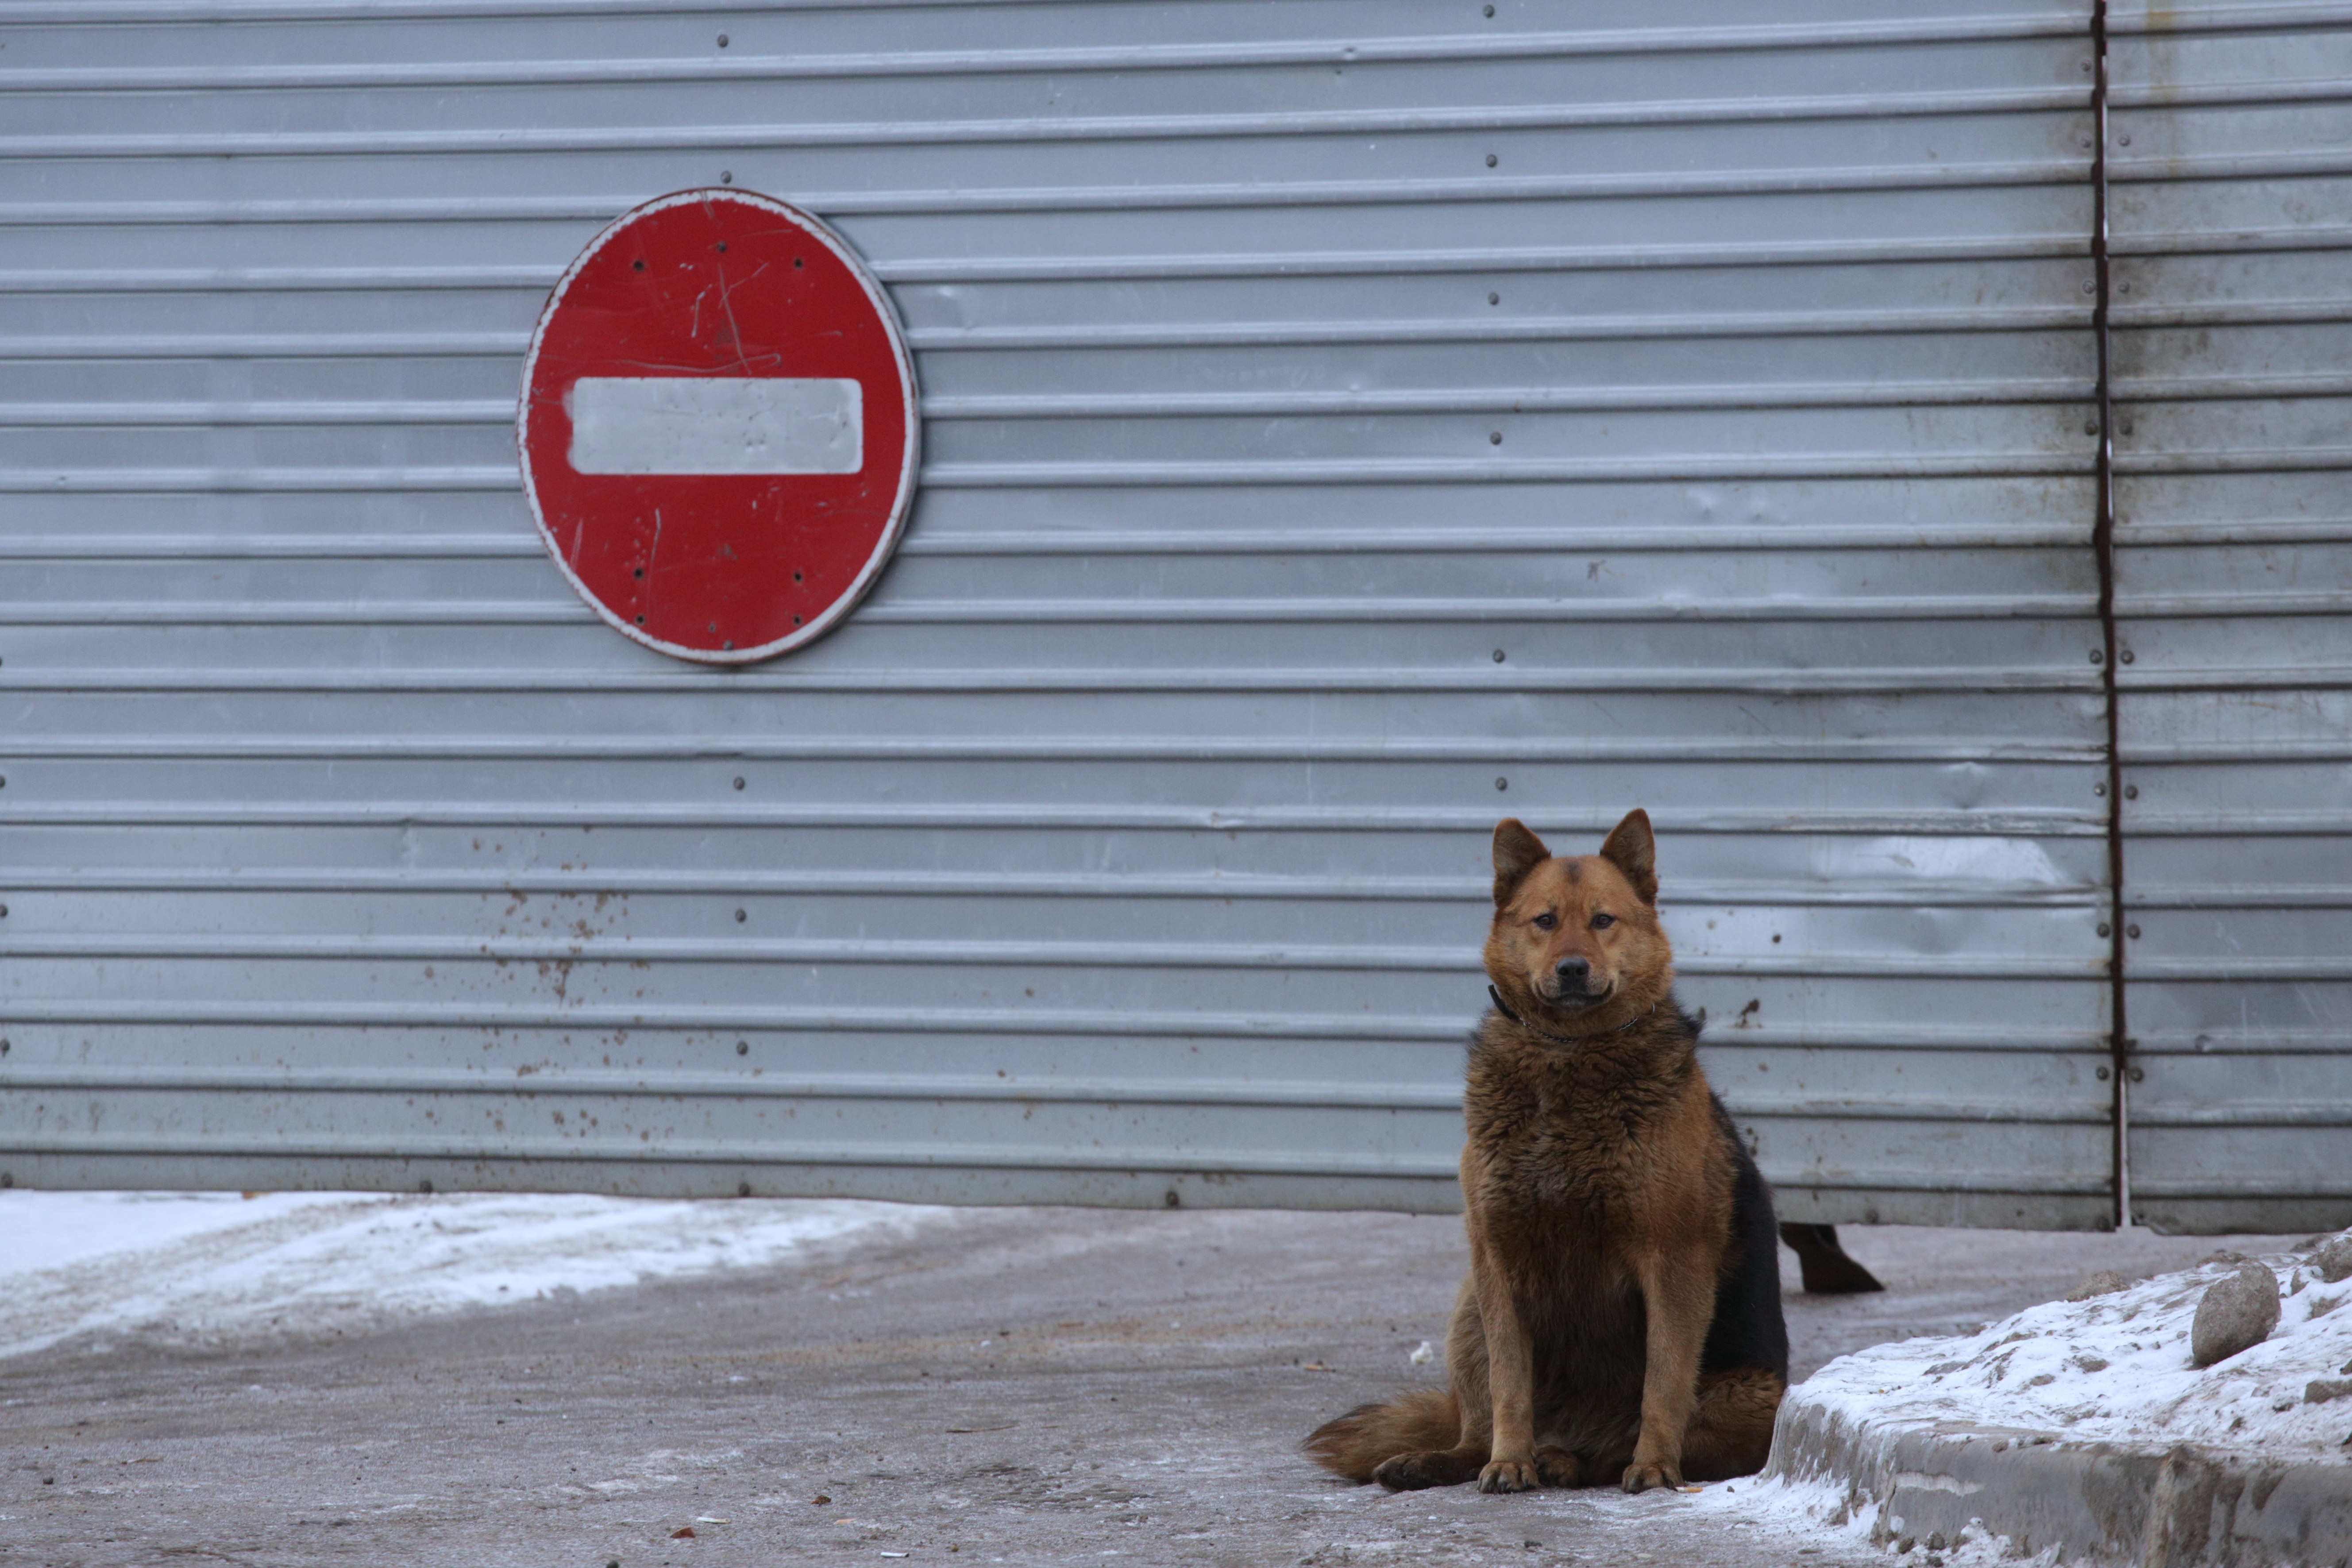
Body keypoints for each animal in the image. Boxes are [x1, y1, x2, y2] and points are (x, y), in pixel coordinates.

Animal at [1307, 818, 1778, 1495]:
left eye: (1604, 920)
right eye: (1545, 920)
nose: (1574, 968)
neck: (1567, 1053)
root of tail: (1577, 1430)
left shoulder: (1673, 1260)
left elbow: (1662, 1384)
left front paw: (1654, 1465)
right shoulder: (1497, 1257)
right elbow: (1510, 1384)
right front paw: (1509, 1460)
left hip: (1745, 1398)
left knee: (1618, 1446)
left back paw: (1575, 1460)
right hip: (1469, 1307)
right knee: (1475, 1430)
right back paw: (1459, 1458)